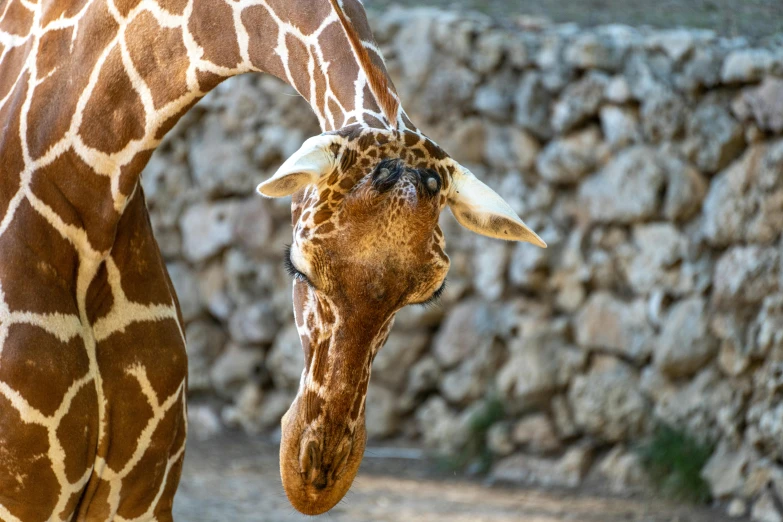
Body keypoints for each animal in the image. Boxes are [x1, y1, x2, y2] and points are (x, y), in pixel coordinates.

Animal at [0, 0, 544, 516]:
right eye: (298, 264)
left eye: (427, 294)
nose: (316, 479)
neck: (90, 186)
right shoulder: (29, 496)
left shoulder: (136, 497)